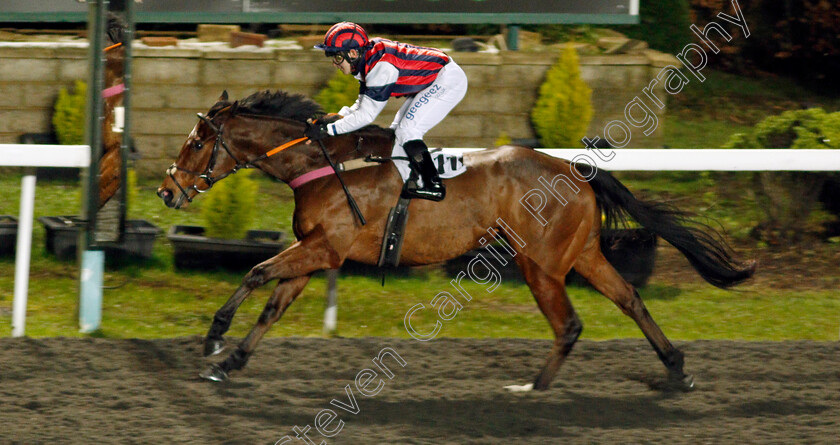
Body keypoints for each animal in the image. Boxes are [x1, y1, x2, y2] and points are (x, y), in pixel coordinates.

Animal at [156, 89, 756, 388]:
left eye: (195, 144)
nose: (166, 191)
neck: (324, 164)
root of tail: (575, 169)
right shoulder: (318, 254)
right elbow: (271, 306)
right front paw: (229, 361)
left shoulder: (325, 247)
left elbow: (255, 271)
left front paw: (213, 338)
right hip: (582, 254)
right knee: (630, 299)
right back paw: (676, 370)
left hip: (540, 265)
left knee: (570, 324)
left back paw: (533, 388)